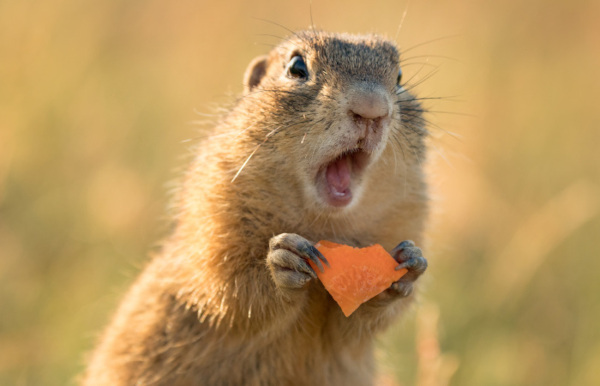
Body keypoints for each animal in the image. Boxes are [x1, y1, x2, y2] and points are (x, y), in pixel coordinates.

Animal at [85, 30, 432, 386]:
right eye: (296, 67)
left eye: (399, 77)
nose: (372, 108)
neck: (324, 223)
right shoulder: (213, 214)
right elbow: (226, 286)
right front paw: (283, 260)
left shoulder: (409, 213)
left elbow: (354, 327)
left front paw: (409, 263)